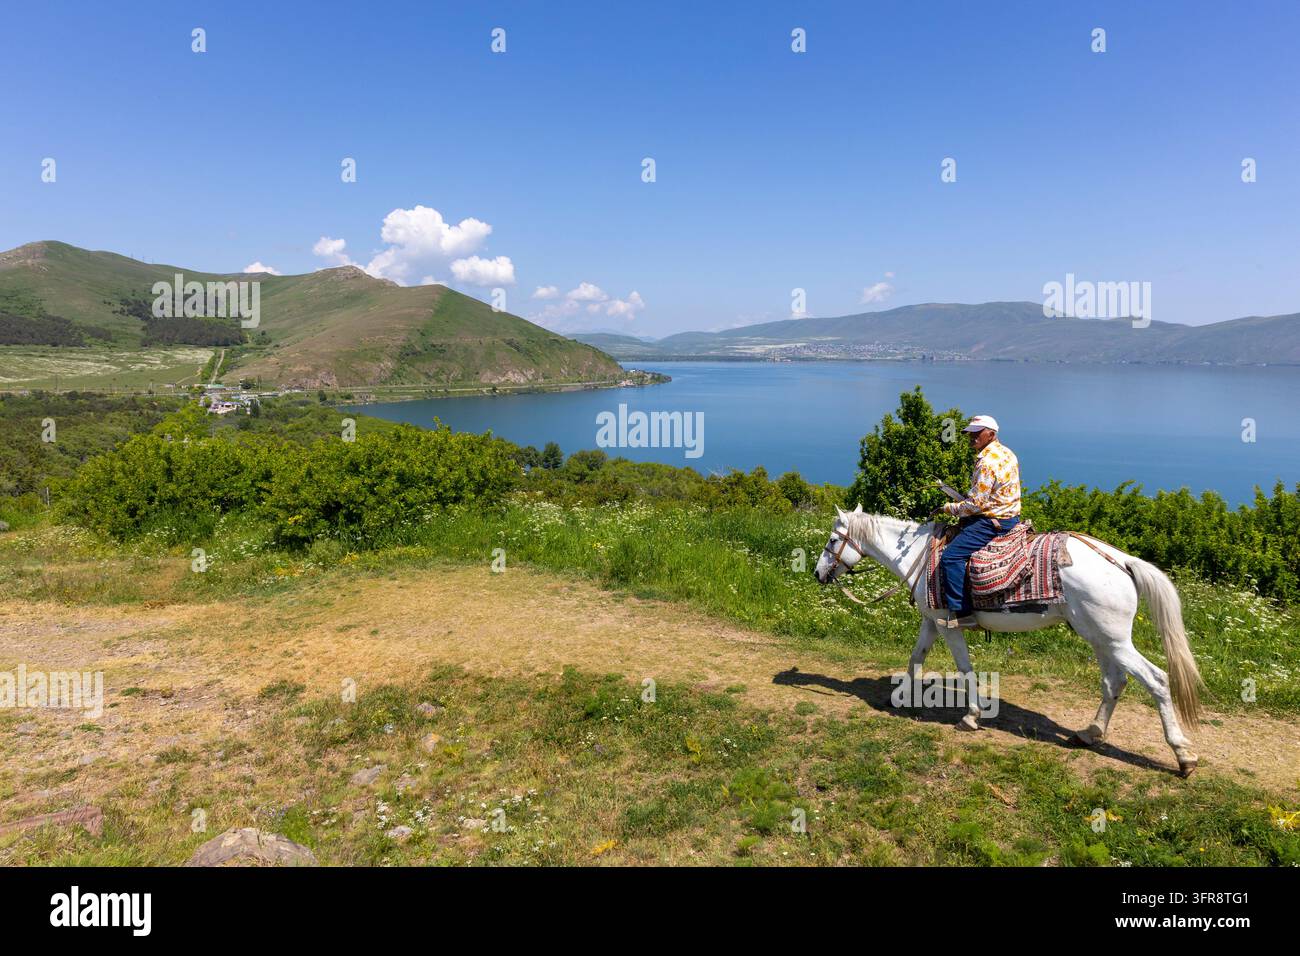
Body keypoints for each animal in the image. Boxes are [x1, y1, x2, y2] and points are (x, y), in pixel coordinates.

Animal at [813, 506, 1203, 777]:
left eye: (832, 540)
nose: (818, 573)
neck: (920, 556)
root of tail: (1121, 560)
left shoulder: (948, 624)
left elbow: (965, 669)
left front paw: (971, 716)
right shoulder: (931, 621)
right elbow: (915, 658)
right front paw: (899, 697)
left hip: (1114, 640)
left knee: (1157, 680)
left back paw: (1183, 756)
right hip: (1101, 638)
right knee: (1114, 682)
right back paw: (1088, 734)